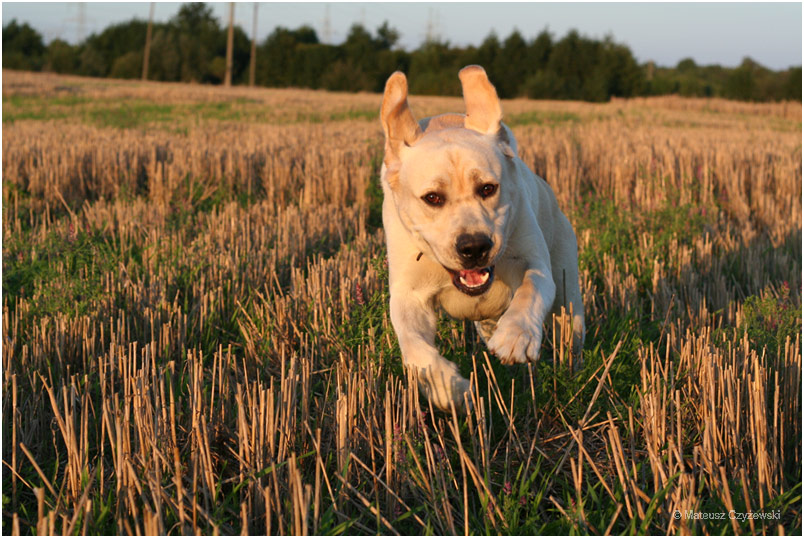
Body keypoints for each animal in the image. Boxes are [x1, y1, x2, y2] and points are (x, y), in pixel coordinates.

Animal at [380, 65, 580, 408]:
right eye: (432, 198)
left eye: (487, 188)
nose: (474, 247)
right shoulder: (409, 295)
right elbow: (416, 351)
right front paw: (451, 390)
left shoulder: (536, 264)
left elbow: (530, 289)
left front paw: (516, 337)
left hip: (568, 290)